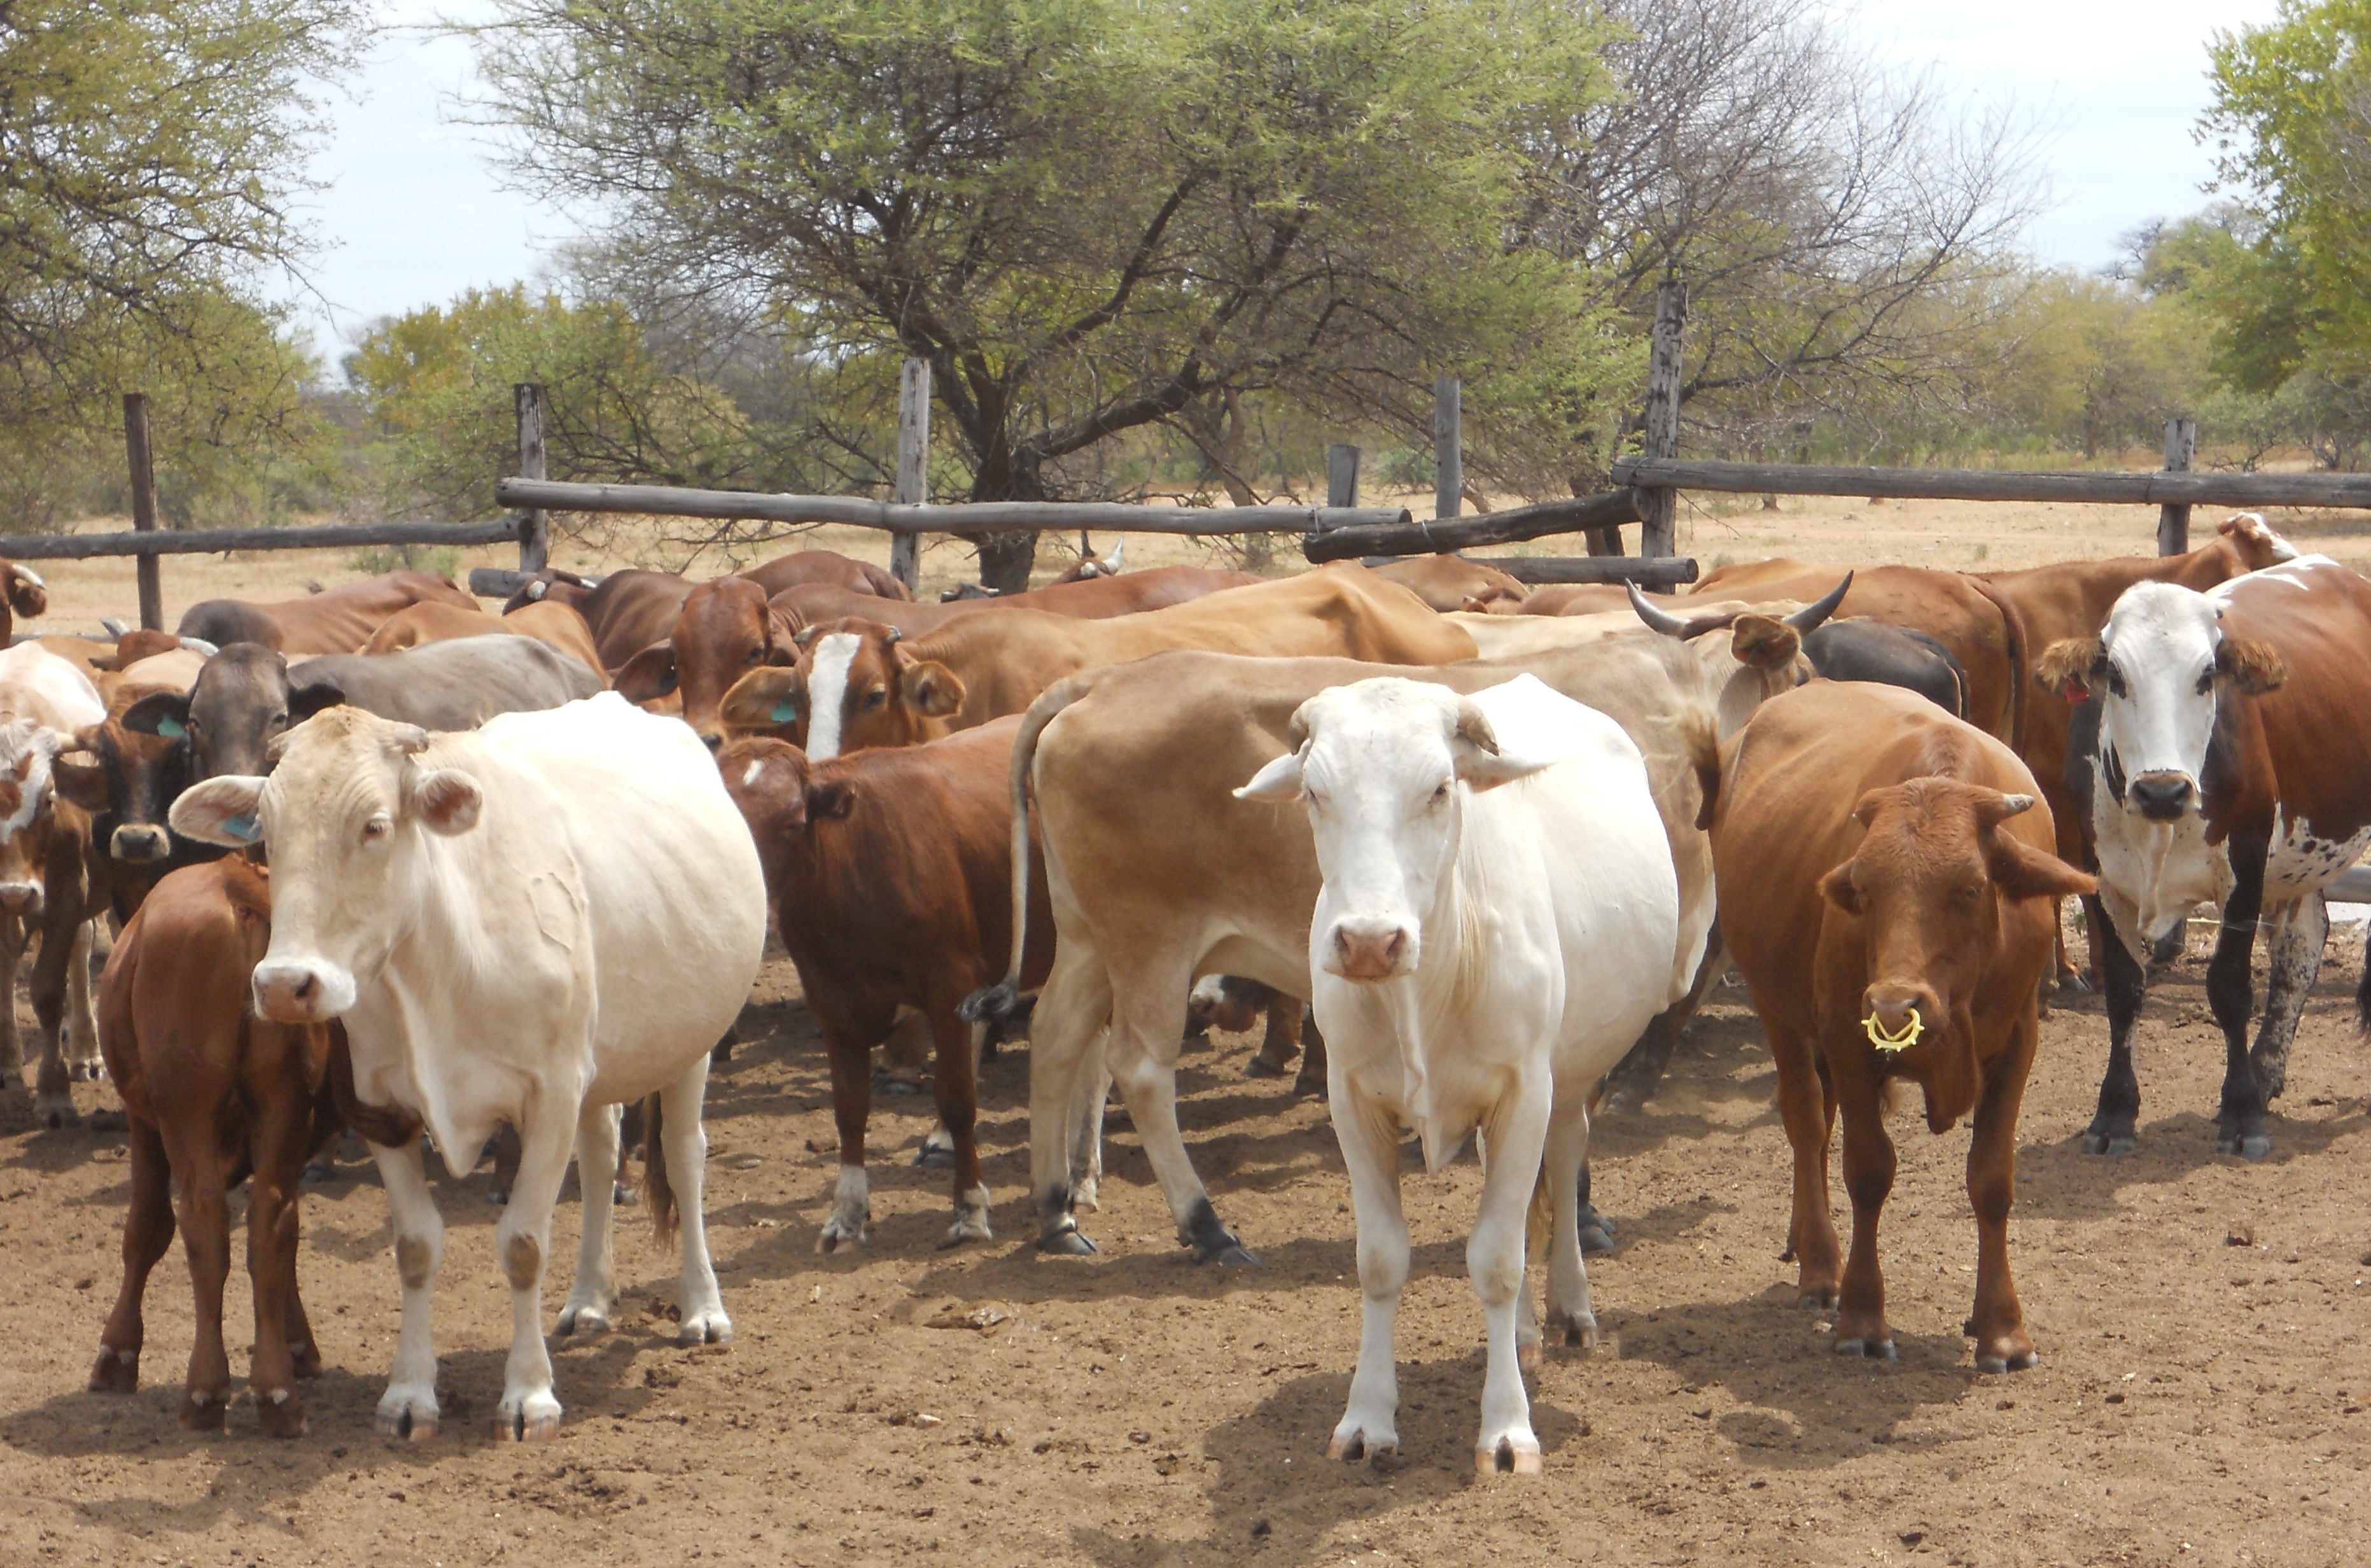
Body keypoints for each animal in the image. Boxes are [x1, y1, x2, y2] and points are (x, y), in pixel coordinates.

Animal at [175, 692, 768, 1432]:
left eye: (374, 825)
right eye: (267, 832)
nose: (286, 984)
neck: (442, 959)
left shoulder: (550, 1093)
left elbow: (523, 1244)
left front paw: (530, 1394)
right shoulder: (381, 1106)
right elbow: (415, 1247)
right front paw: (409, 1393)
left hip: (690, 1041)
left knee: (686, 1158)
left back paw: (703, 1309)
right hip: (598, 1062)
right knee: (602, 1154)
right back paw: (590, 1299)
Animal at [716, 716, 1053, 1243]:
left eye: (793, 824)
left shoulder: (950, 987)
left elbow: (957, 1097)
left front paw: (970, 1208)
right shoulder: (831, 1003)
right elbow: (850, 1109)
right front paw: (847, 1213)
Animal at [1233, 669, 1679, 1471]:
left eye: (1440, 787)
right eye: (1314, 791)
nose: (1369, 941)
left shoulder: (1526, 1090)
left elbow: (1497, 1260)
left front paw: (1507, 1427)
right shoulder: (1351, 1099)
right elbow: (1381, 1259)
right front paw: (1366, 1419)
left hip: (1567, 1080)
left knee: (1563, 1164)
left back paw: (1571, 1308)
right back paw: (1527, 1332)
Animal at [1707, 678, 2095, 1366]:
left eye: (1971, 888)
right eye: (1864, 890)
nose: (1893, 1006)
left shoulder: (2019, 1041)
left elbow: (1991, 1182)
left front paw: (2002, 1328)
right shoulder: (1846, 1036)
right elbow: (1867, 1171)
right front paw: (1864, 1317)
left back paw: (1804, 1240)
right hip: (1777, 1009)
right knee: (1807, 1121)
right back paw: (1821, 1266)